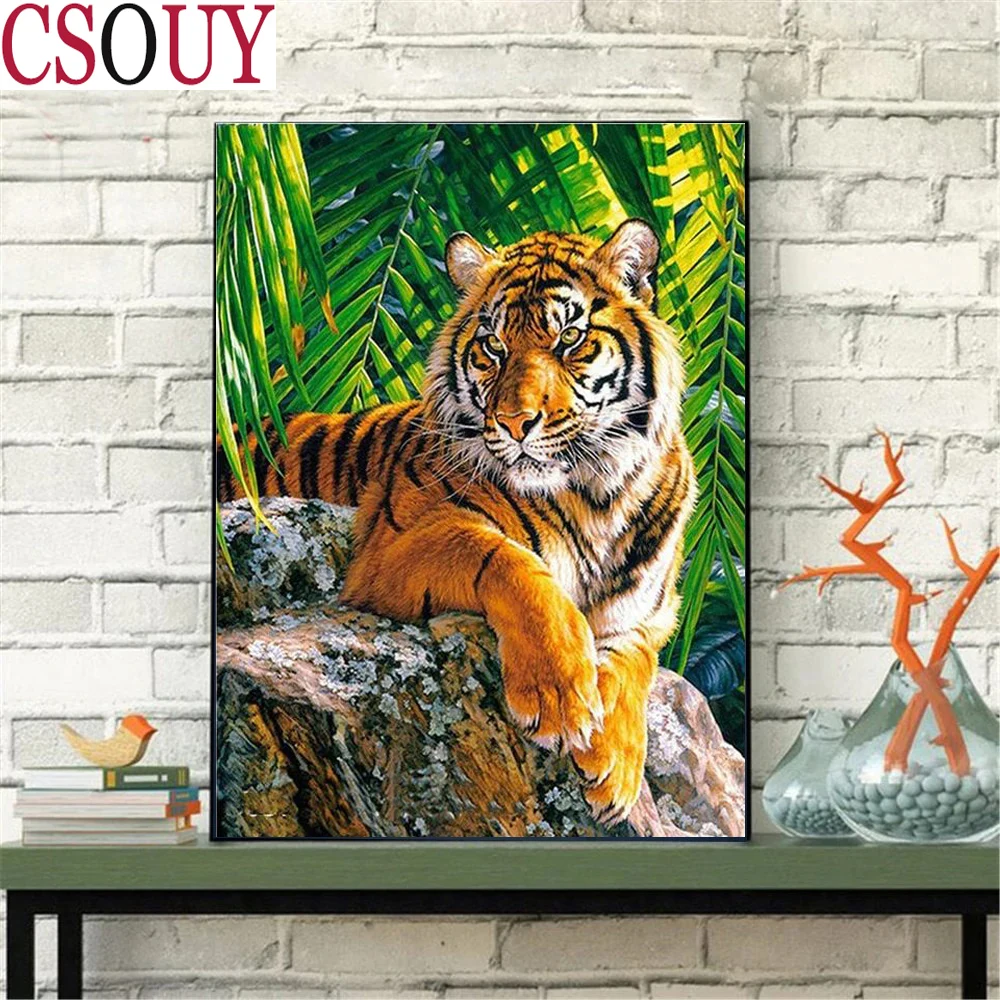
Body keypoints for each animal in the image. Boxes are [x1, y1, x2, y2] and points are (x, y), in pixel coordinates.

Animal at [218, 219, 696, 828]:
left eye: (569, 339)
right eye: (494, 346)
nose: (515, 423)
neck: (596, 493)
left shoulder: (650, 613)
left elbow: (636, 660)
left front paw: (616, 765)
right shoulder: (391, 546)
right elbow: (512, 563)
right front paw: (559, 696)